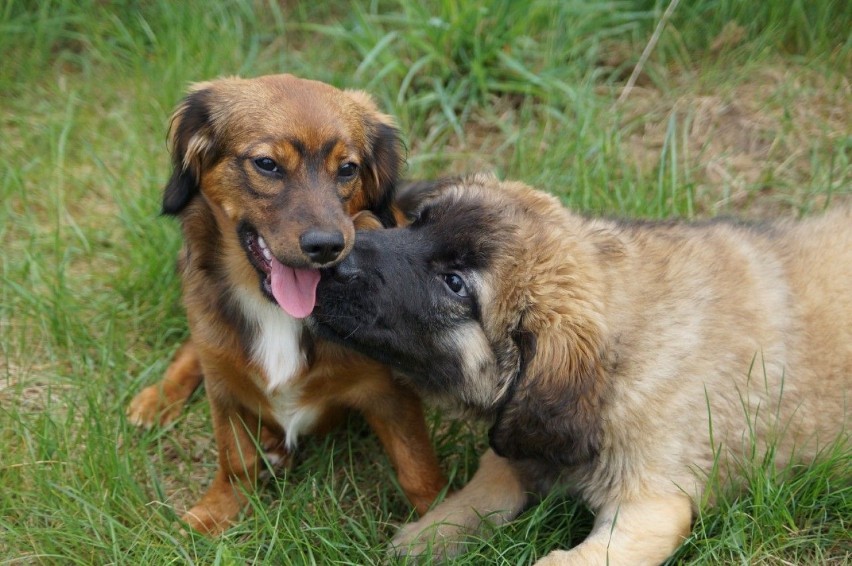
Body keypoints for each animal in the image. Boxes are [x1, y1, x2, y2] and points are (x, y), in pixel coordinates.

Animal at [127, 75, 450, 536]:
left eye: (348, 169)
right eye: (267, 164)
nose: (327, 246)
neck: (277, 312)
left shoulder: (389, 390)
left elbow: (417, 468)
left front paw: (443, 522)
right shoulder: (224, 390)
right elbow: (235, 458)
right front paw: (216, 513)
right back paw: (160, 399)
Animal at [314, 175, 852, 564]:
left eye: (455, 284)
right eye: (420, 221)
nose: (331, 262)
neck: (621, 352)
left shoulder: (650, 506)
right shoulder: (517, 442)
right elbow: (481, 493)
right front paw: (427, 537)